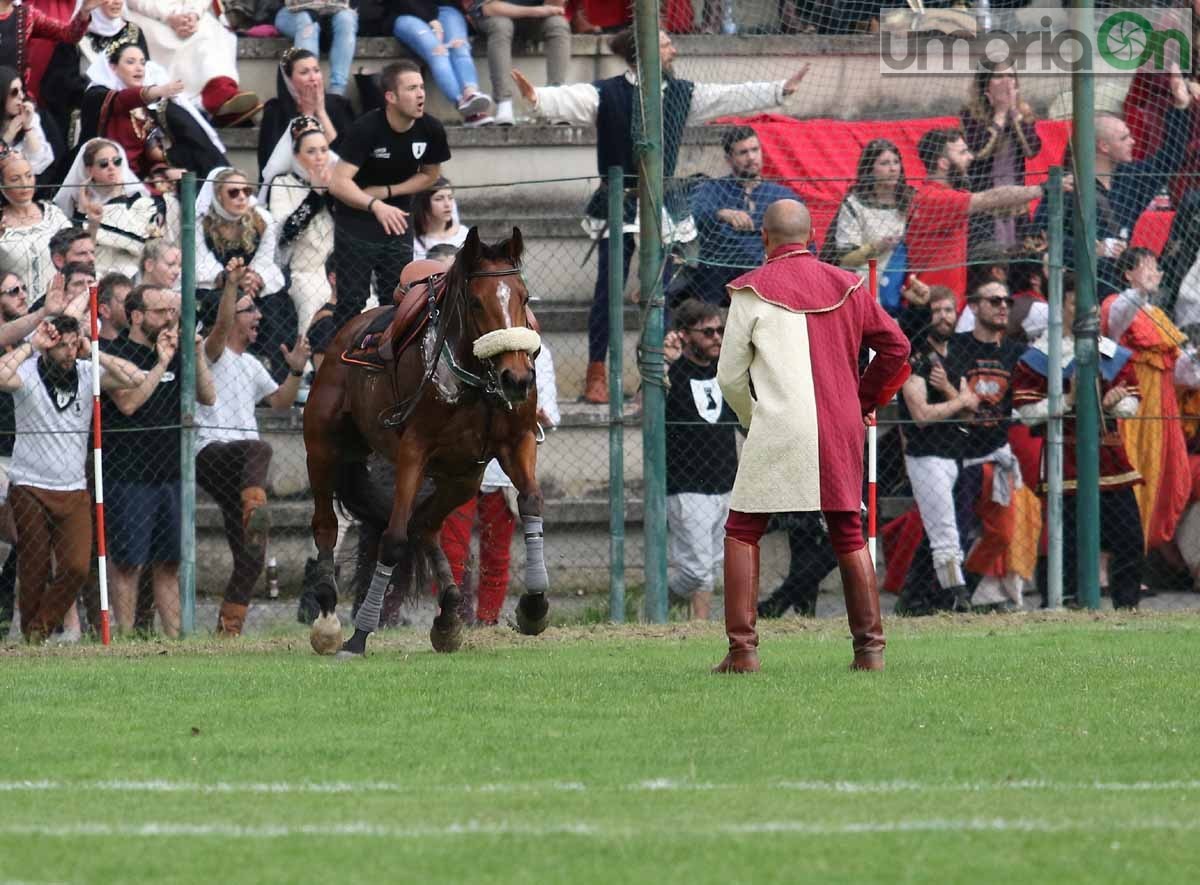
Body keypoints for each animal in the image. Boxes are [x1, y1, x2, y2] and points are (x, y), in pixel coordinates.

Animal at [300, 227, 549, 657]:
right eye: (475, 302)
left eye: (524, 296)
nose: (517, 378)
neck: (477, 384)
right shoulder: (413, 452)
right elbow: (393, 539)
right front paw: (359, 635)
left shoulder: (517, 441)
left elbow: (531, 500)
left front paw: (534, 607)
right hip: (322, 447)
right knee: (327, 525)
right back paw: (329, 617)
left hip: (462, 476)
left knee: (426, 524)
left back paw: (449, 613)